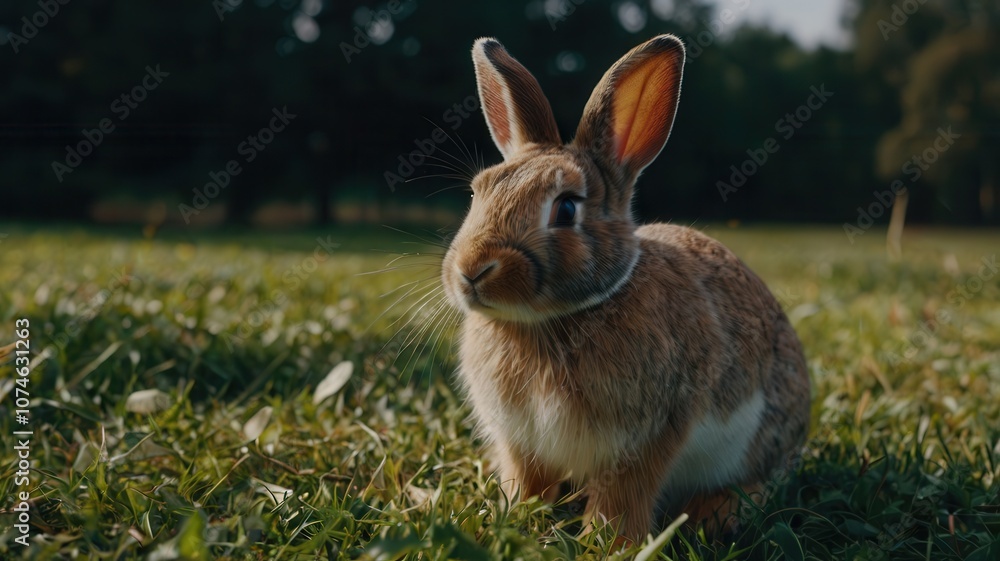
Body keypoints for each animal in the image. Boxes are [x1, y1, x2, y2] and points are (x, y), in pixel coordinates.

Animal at [440, 34, 811, 542]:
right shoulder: (521, 441)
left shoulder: (647, 438)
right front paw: (516, 517)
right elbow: (528, 480)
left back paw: (714, 513)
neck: (553, 320)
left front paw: (608, 542)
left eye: (566, 209)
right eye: (478, 193)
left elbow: (623, 496)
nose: (472, 270)